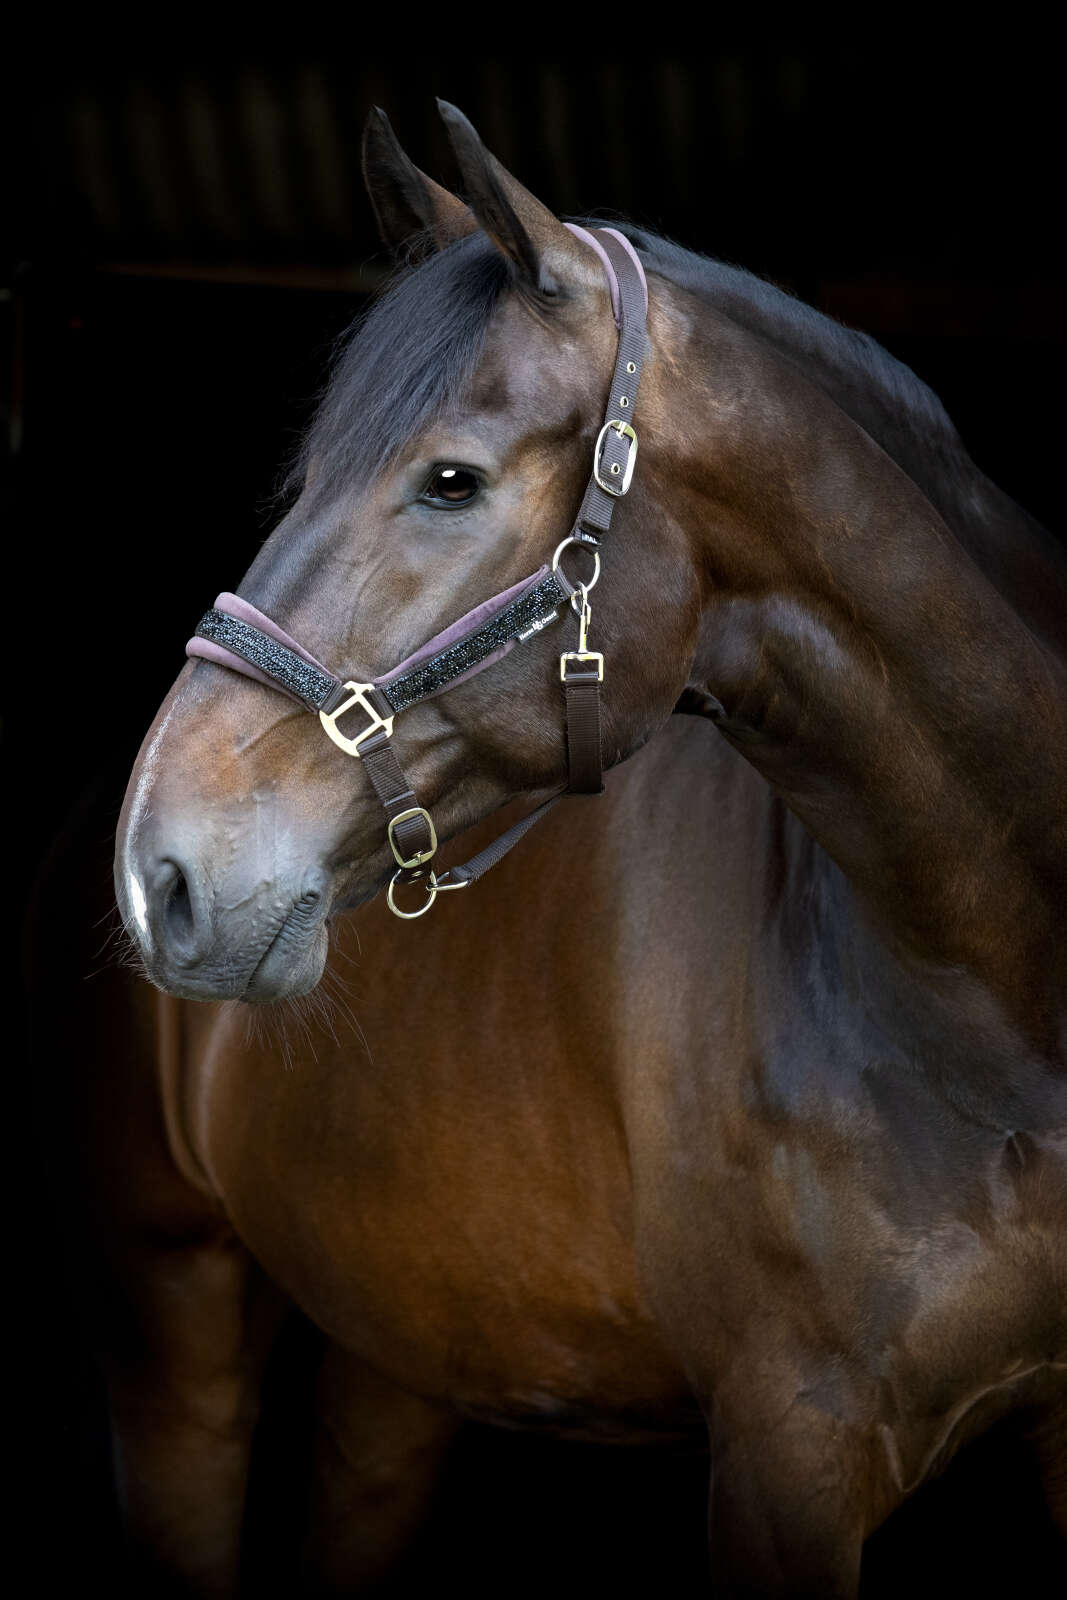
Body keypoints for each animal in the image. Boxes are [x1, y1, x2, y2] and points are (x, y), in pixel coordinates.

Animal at [77, 98, 1067, 1593]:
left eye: (448, 481)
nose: (164, 871)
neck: (987, 994)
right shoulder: (786, 1443)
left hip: (398, 1360)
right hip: (170, 1313)